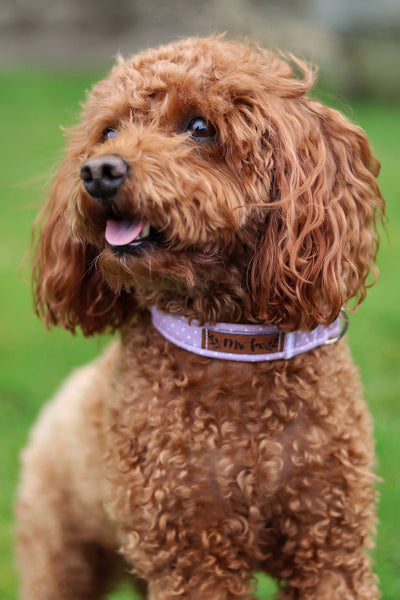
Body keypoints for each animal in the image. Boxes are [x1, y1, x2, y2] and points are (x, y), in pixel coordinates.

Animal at [15, 37, 384, 600]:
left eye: (200, 127)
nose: (99, 171)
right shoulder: (190, 554)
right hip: (59, 550)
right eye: (109, 131)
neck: (232, 340)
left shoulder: (329, 544)